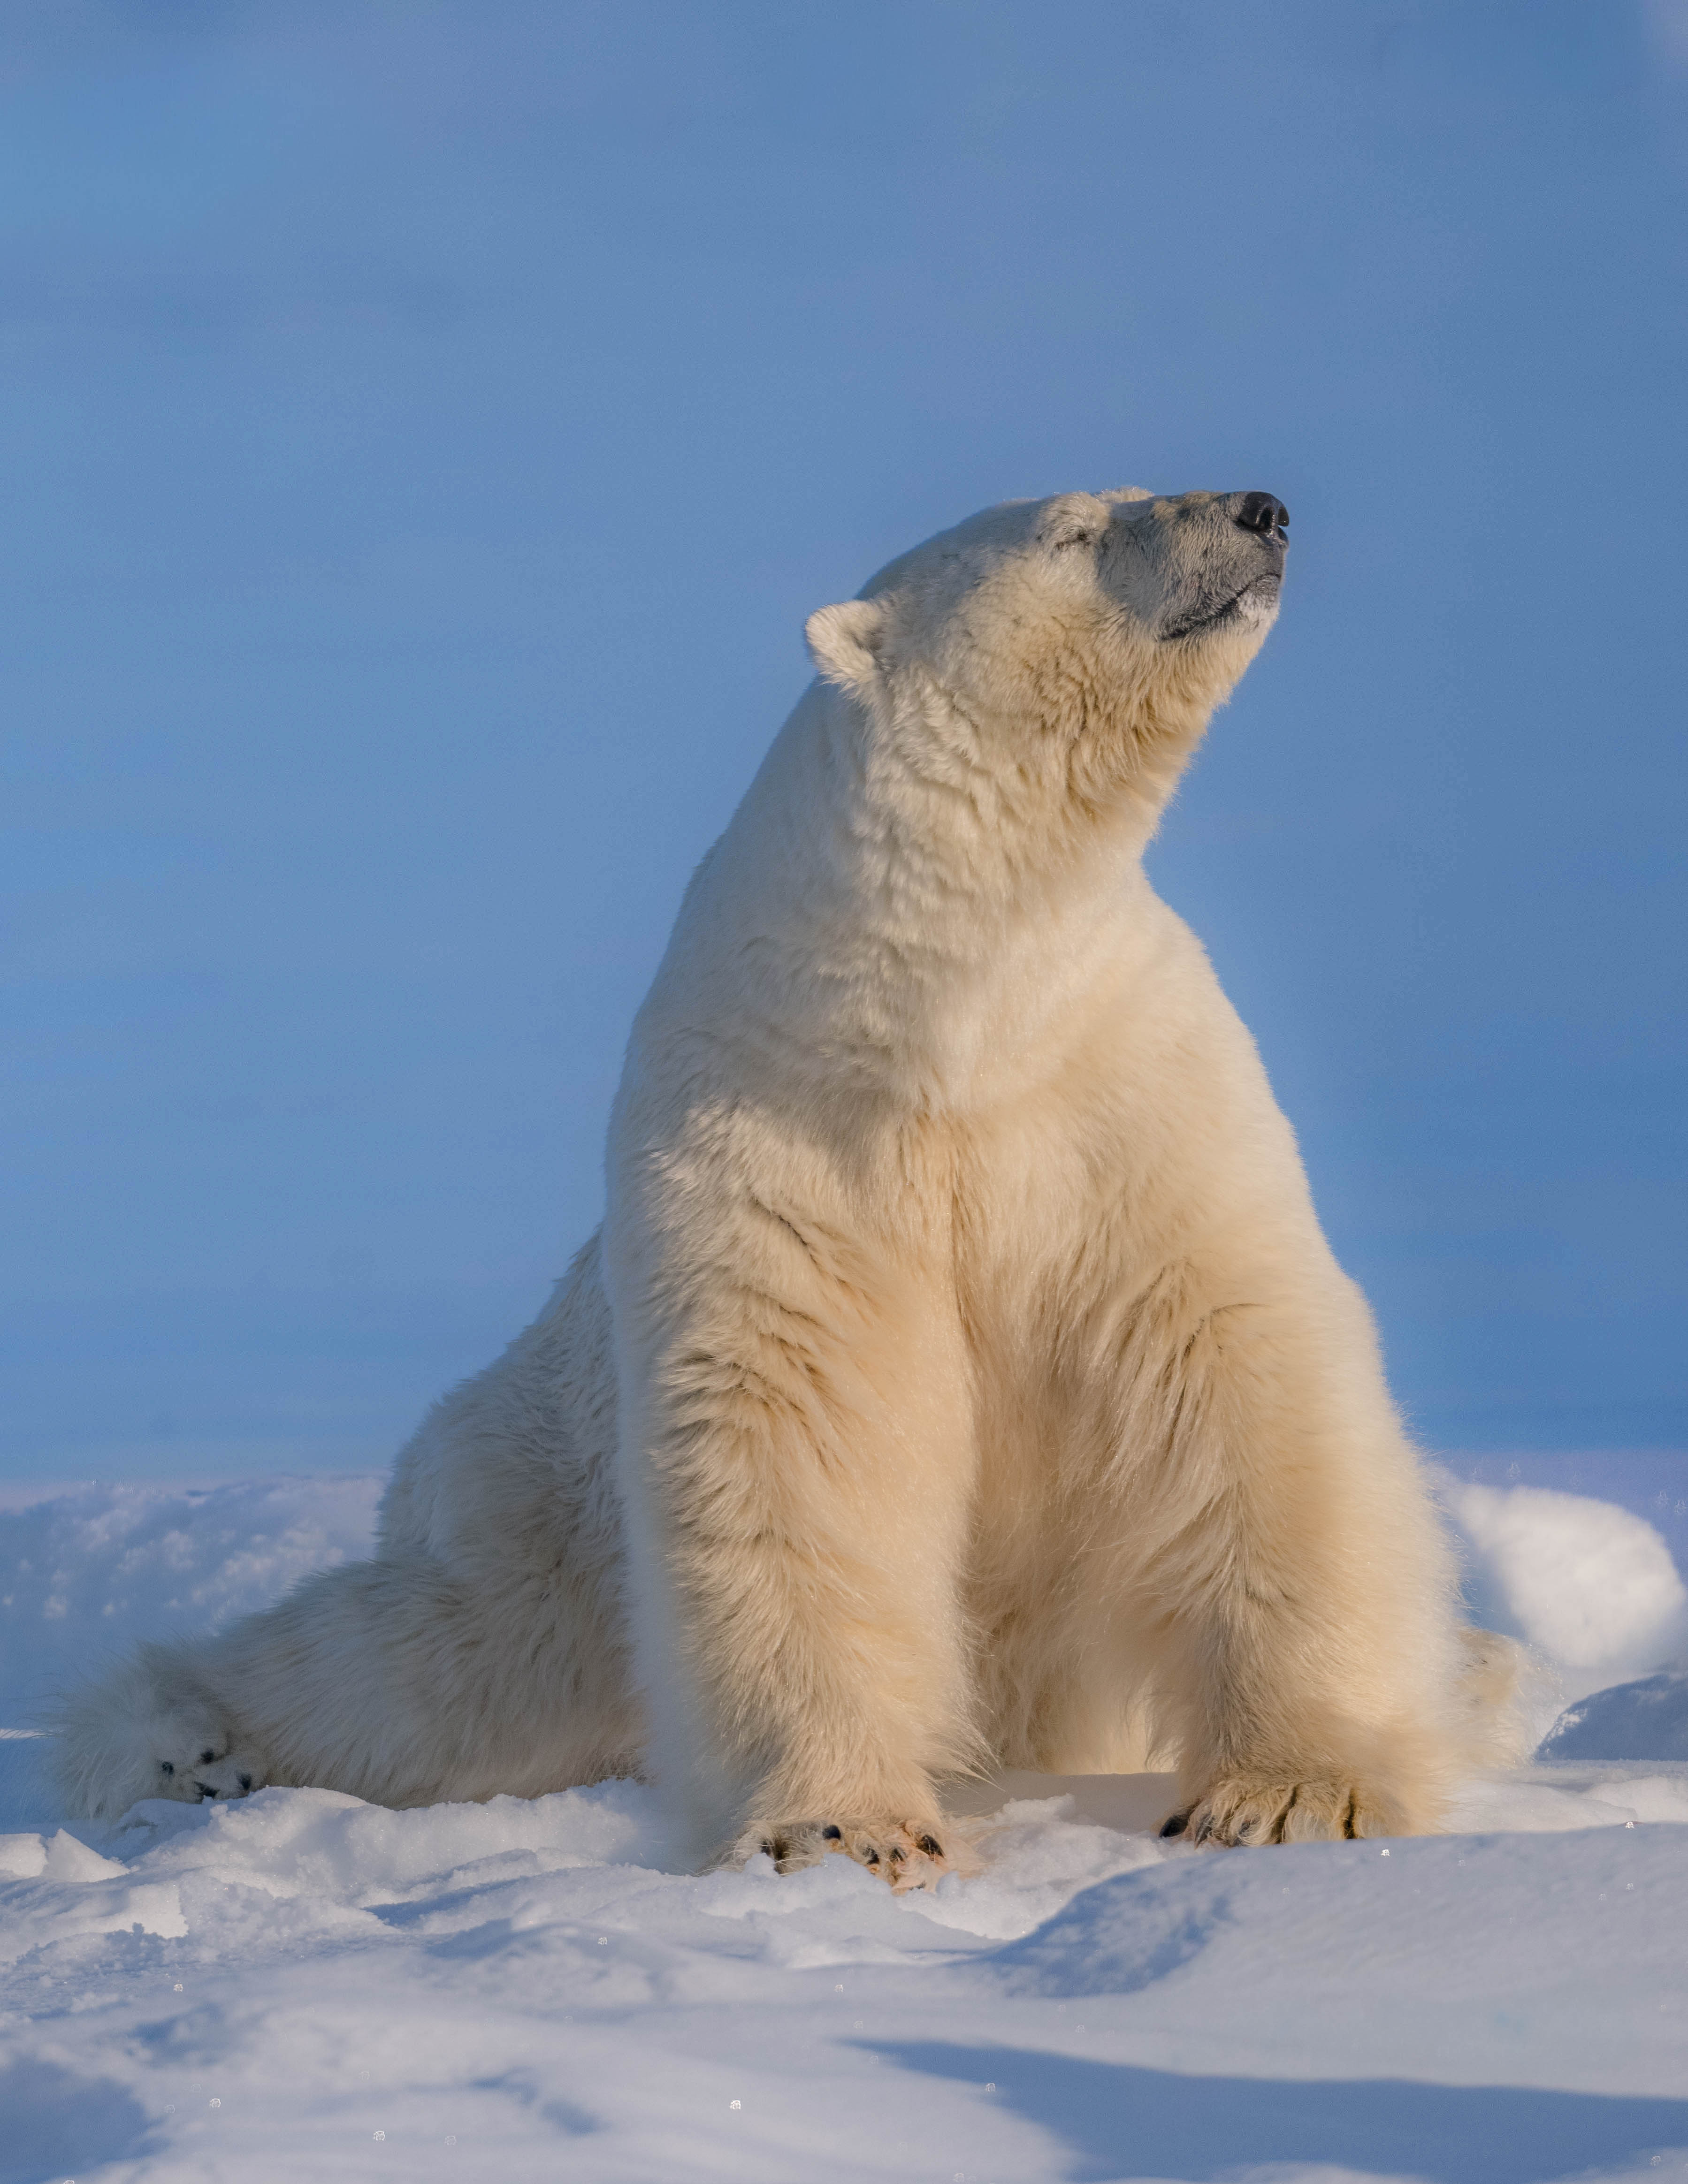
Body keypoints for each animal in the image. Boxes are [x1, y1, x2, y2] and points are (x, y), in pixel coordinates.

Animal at [56, 484, 1516, 1876]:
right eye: (1079, 526)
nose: (1262, 510)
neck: (942, 1015)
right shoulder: (774, 1137)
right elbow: (794, 1433)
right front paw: (842, 1831)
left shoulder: (1123, 1097)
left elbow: (1231, 1379)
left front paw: (1289, 1792)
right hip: (537, 1500)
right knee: (430, 1666)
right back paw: (181, 1738)